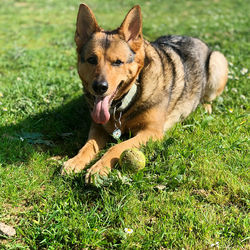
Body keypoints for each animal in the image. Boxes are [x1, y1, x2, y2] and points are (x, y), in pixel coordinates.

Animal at [61, 3, 228, 184]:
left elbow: (117, 147)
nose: (99, 87)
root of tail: (194, 38)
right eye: (92, 60)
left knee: (209, 97)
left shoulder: (151, 132)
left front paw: (99, 168)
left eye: (118, 62)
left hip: (217, 62)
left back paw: (205, 107)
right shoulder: (98, 127)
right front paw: (75, 161)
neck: (126, 102)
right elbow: (88, 145)